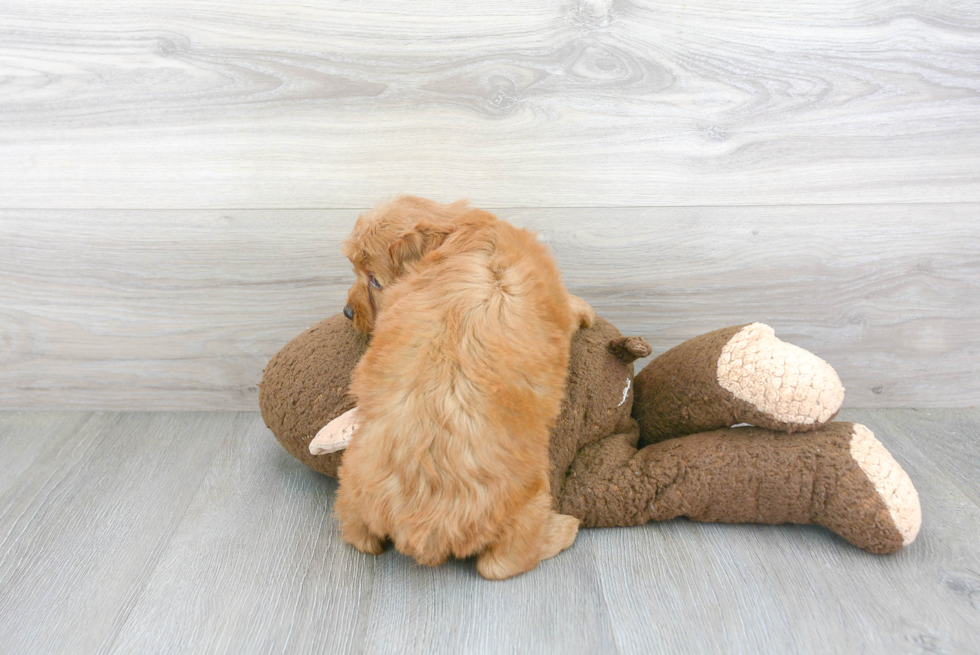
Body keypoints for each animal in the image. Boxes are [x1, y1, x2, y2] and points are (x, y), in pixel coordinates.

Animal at [334, 195, 592, 580]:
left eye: (374, 281)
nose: (348, 312)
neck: (456, 235)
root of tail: (426, 529)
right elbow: (569, 307)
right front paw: (584, 309)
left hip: (350, 483)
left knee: (357, 535)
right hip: (530, 499)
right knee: (503, 563)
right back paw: (563, 529)